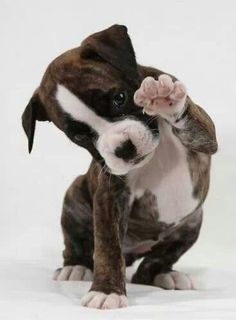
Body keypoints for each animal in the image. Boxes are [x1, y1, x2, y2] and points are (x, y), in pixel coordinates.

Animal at [21, 23, 218, 308]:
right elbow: (108, 247)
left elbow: (197, 126)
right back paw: (75, 266)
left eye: (119, 98)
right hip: (74, 196)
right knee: (77, 244)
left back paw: (165, 275)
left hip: (191, 223)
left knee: (153, 263)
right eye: (78, 136)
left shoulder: (206, 138)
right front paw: (106, 291)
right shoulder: (110, 195)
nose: (123, 148)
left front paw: (166, 100)